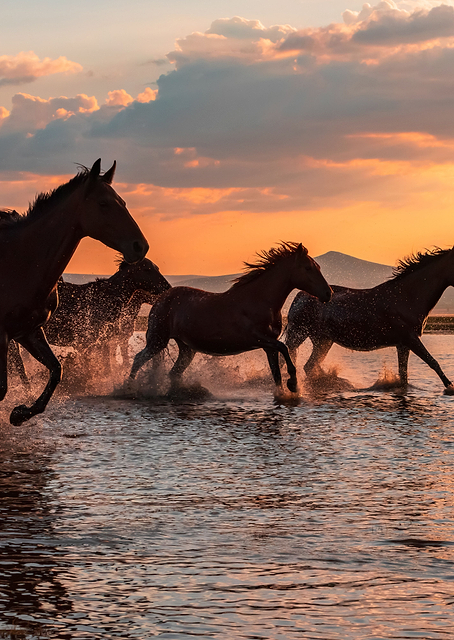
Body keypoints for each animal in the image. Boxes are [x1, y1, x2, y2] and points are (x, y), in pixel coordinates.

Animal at [0, 159, 148, 425]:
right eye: (103, 203)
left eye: (123, 202)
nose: (140, 246)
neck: (20, 261)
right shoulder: (3, 333)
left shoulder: (28, 332)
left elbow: (56, 371)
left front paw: (20, 413)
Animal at [129, 242, 332, 394]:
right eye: (308, 268)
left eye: (318, 267)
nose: (328, 293)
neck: (259, 300)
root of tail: (161, 298)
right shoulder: (258, 339)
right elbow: (284, 348)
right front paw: (294, 384)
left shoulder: (268, 346)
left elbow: (276, 374)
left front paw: (285, 392)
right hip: (157, 340)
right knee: (138, 359)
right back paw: (128, 388)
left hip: (186, 349)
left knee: (174, 373)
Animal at [285, 247, 454, 393]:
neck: (406, 297)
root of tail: (299, 297)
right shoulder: (411, 339)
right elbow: (433, 362)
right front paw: (450, 387)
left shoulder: (403, 344)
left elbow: (404, 375)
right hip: (299, 334)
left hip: (323, 341)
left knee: (310, 366)